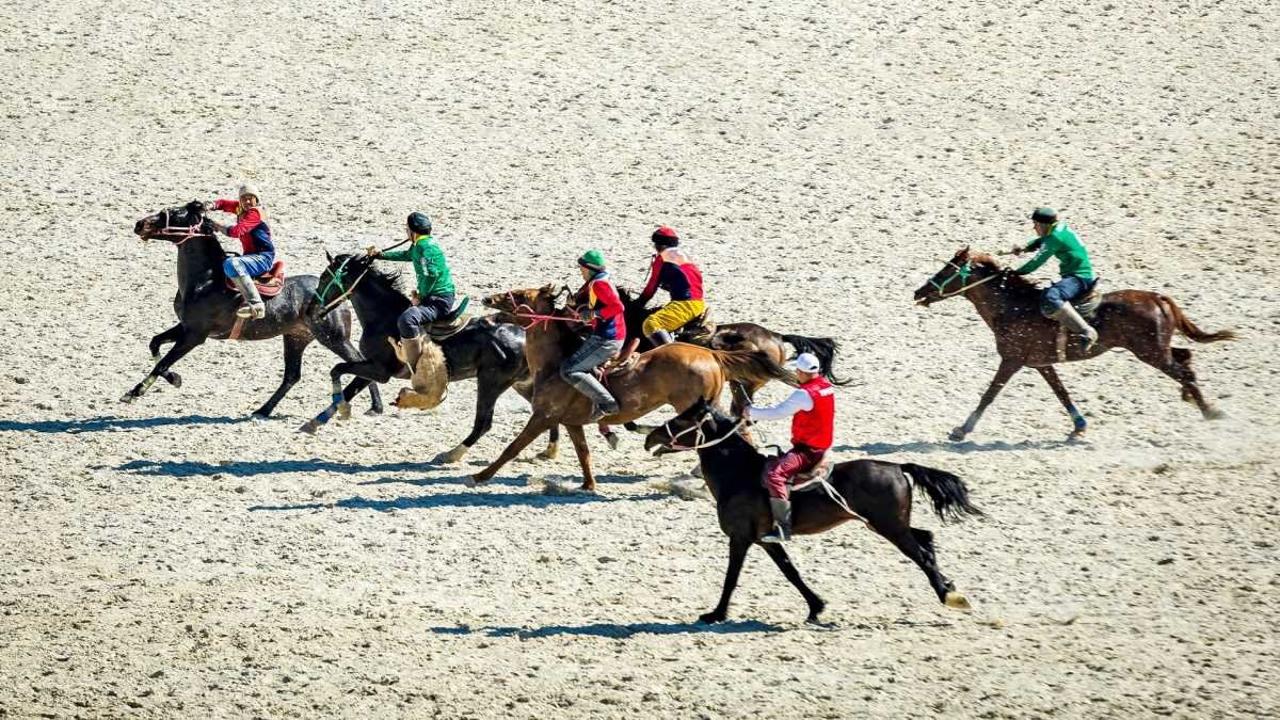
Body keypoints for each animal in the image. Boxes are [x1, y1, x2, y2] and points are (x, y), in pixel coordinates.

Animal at [127, 198, 381, 417]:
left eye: (174, 213)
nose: (139, 224)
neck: (205, 280)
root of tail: (340, 296)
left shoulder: (195, 335)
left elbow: (163, 362)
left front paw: (135, 392)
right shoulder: (185, 327)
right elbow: (155, 344)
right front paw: (174, 379)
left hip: (334, 338)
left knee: (359, 362)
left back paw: (376, 407)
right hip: (296, 338)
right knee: (292, 376)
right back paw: (263, 410)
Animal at [304, 252, 560, 461]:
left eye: (325, 277)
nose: (310, 309)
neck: (384, 318)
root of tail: (523, 335)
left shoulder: (379, 370)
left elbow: (337, 369)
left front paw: (341, 411)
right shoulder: (370, 368)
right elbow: (349, 387)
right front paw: (314, 422)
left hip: (490, 383)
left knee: (484, 423)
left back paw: (450, 454)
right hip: (522, 383)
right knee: (546, 410)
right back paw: (549, 450)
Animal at [465, 283, 793, 489]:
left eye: (519, 294)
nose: (488, 301)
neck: (555, 362)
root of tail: (712, 353)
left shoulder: (543, 417)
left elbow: (513, 447)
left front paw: (479, 476)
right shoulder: (571, 422)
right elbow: (583, 452)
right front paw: (589, 484)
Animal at [650, 397, 977, 622]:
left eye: (681, 419)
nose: (649, 437)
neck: (740, 474)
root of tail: (897, 466)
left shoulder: (740, 538)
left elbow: (733, 577)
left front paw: (716, 614)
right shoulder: (766, 540)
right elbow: (790, 571)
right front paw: (816, 606)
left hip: (891, 528)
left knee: (921, 553)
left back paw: (949, 596)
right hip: (888, 524)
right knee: (926, 538)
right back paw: (948, 585)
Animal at [916, 245, 1233, 438]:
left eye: (948, 270)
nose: (919, 292)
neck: (1012, 306)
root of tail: (1157, 297)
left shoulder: (1012, 360)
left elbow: (990, 394)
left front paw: (962, 429)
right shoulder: (1041, 364)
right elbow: (1061, 393)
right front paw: (1079, 426)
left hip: (1150, 352)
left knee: (1183, 370)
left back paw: (1209, 411)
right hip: (1156, 348)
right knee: (1184, 357)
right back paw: (1191, 398)